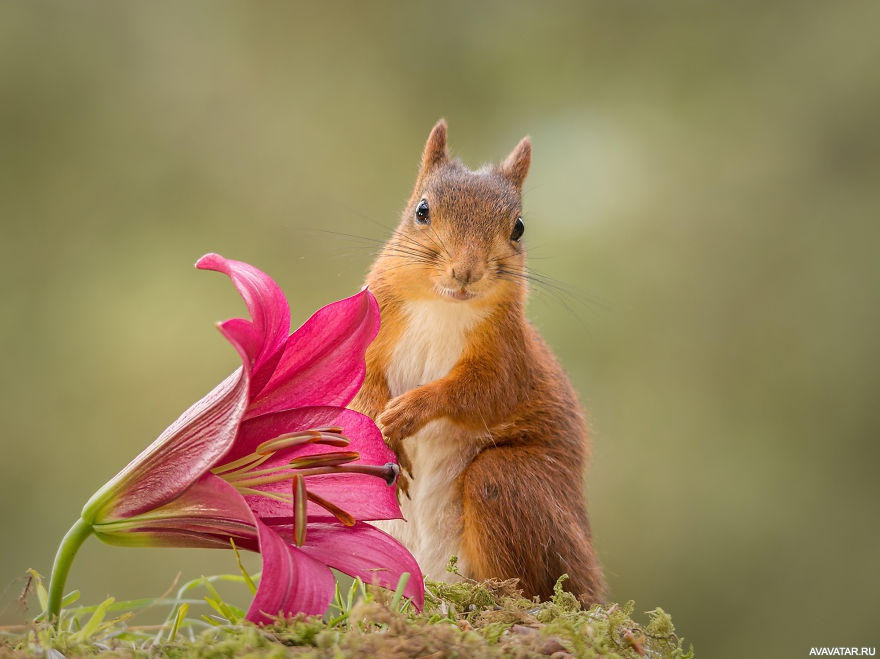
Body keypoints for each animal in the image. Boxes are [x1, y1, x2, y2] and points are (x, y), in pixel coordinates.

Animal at [348, 120, 604, 608]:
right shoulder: (369, 328)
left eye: (518, 227)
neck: (441, 307)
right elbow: (360, 382)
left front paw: (412, 410)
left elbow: (483, 393)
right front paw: (383, 426)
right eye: (422, 211)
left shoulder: (509, 357)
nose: (465, 271)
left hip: (512, 485)